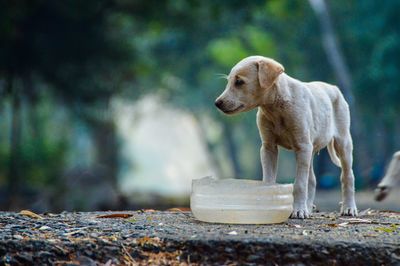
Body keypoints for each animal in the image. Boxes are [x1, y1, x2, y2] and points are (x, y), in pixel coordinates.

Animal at [216, 55, 360, 218]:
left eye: (239, 82)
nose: (217, 103)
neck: (276, 107)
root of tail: (334, 88)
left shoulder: (302, 146)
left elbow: (300, 184)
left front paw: (298, 210)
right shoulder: (269, 147)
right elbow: (269, 181)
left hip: (343, 142)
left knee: (347, 176)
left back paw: (348, 207)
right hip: (310, 149)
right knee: (312, 180)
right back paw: (309, 207)